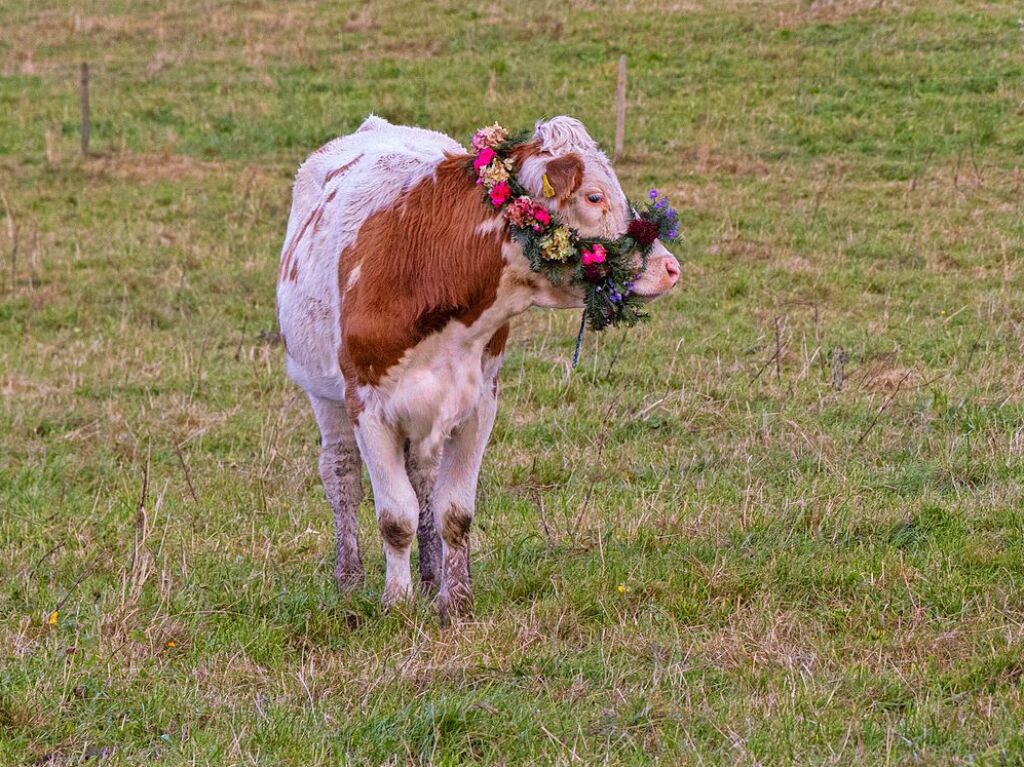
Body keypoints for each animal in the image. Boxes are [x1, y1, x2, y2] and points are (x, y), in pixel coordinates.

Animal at [276, 115, 684, 622]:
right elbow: (395, 517)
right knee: (341, 475)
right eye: (594, 196)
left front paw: (456, 602)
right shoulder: (367, 405)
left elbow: (453, 511)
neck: (428, 264)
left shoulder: (478, 403)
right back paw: (349, 579)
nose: (670, 268)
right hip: (323, 394)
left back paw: (430, 575)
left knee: (424, 480)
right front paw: (396, 605)